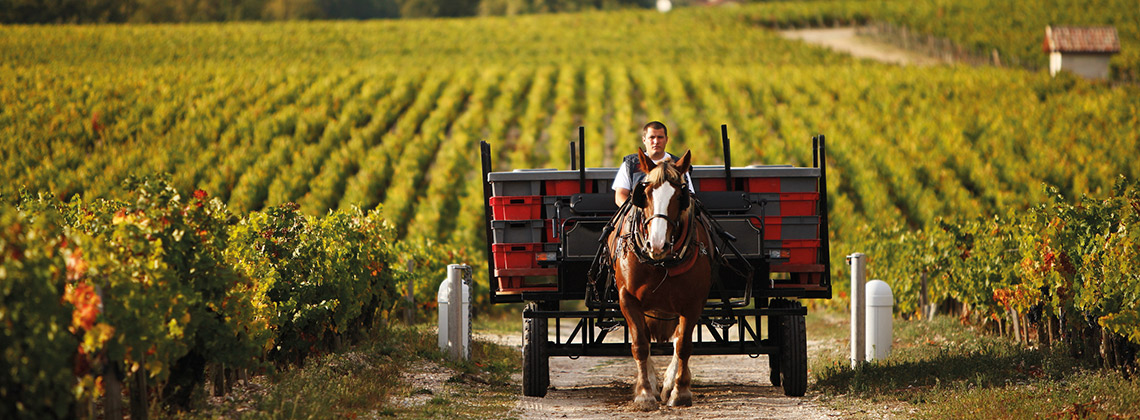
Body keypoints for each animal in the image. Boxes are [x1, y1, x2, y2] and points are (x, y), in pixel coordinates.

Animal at [606, 147, 711, 410]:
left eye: (680, 195)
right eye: (644, 193)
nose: (657, 244)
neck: (661, 262)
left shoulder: (693, 303)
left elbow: (683, 345)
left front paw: (680, 391)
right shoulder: (628, 299)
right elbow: (640, 345)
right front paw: (645, 393)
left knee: (676, 341)